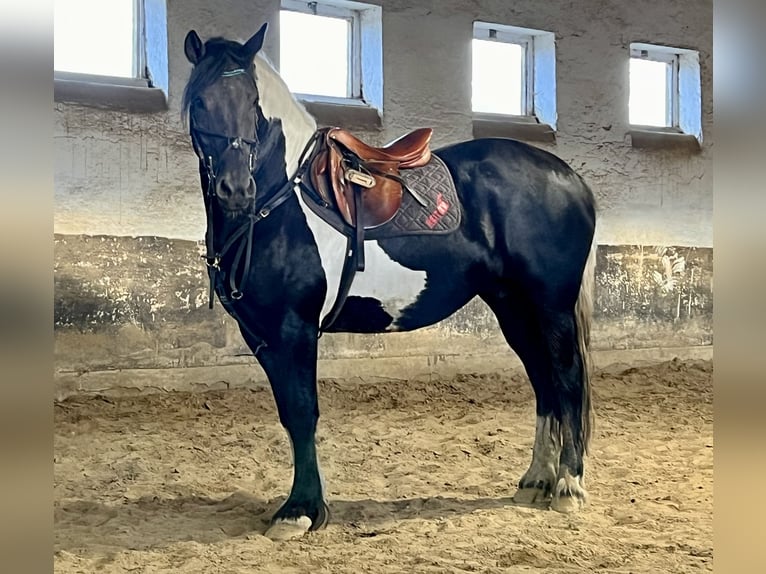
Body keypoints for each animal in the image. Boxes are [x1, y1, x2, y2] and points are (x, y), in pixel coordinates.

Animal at [183, 23, 596, 544]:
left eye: (252, 102)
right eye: (200, 101)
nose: (236, 189)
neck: (279, 204)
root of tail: (568, 178)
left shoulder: (294, 330)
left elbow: (302, 411)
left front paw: (301, 511)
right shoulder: (262, 336)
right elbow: (289, 415)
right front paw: (302, 507)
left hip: (550, 305)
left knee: (568, 380)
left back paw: (569, 486)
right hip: (513, 308)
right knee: (544, 383)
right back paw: (536, 480)